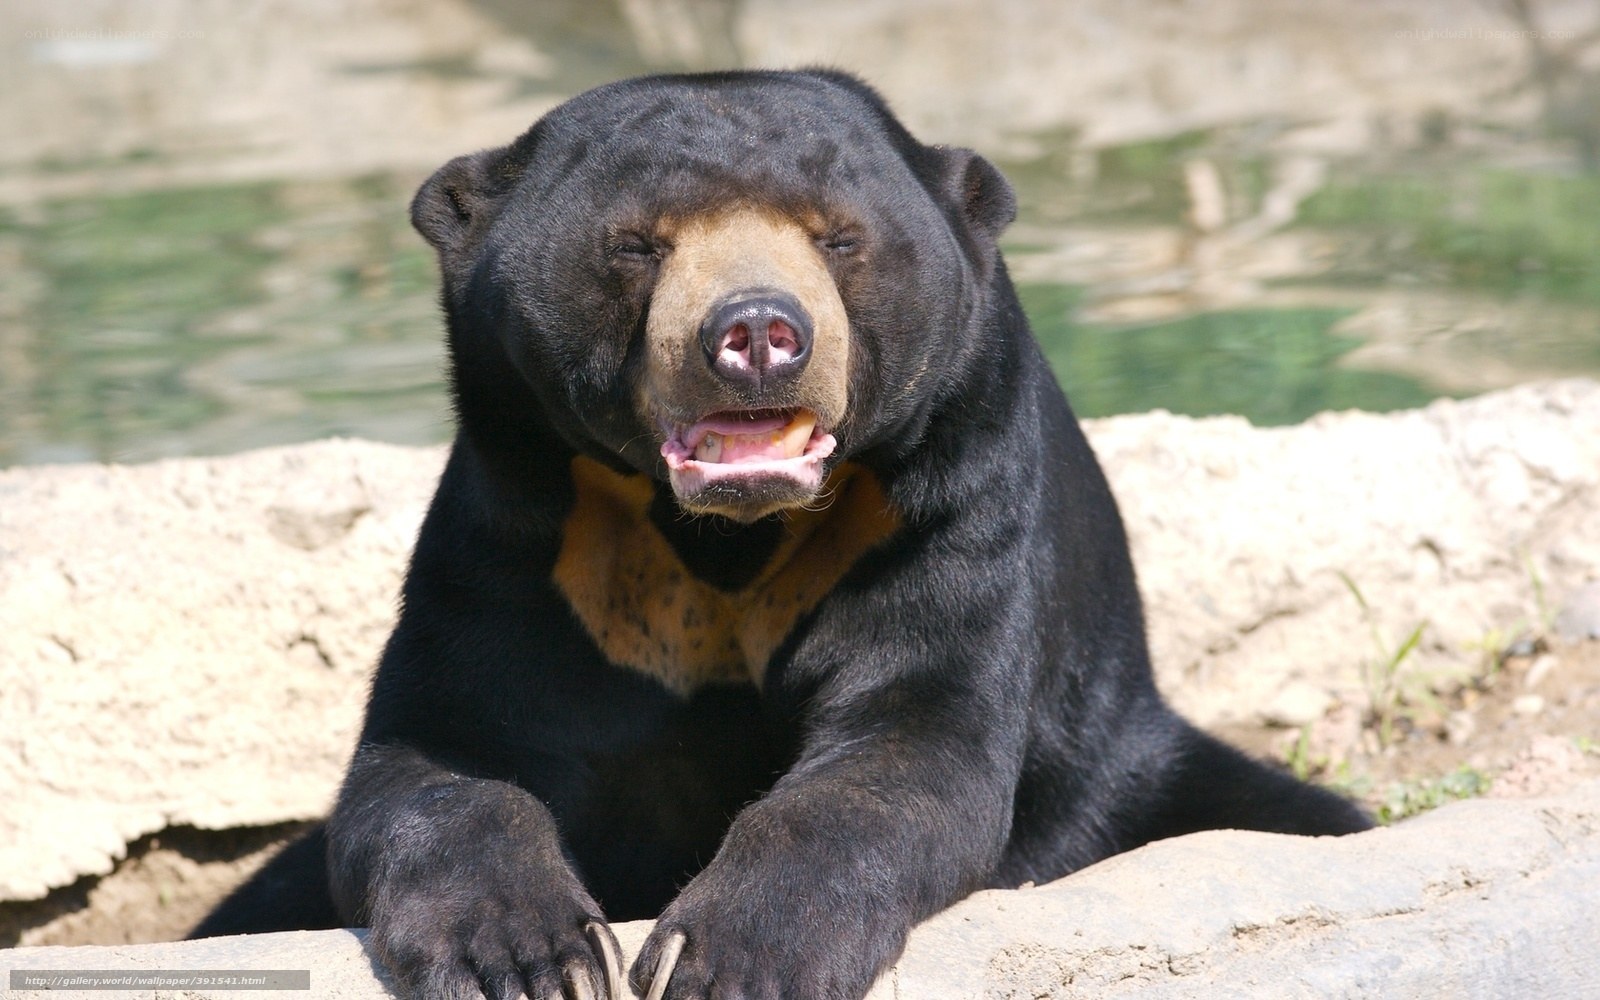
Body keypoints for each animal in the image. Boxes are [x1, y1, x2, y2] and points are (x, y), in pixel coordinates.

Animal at [193, 69, 1370, 1000]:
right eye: (636, 246)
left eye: (840, 237)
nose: (758, 332)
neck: (725, 536)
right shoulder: (524, 539)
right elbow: (439, 756)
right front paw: (528, 958)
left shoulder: (941, 512)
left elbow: (905, 744)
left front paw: (726, 958)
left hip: (1126, 761)